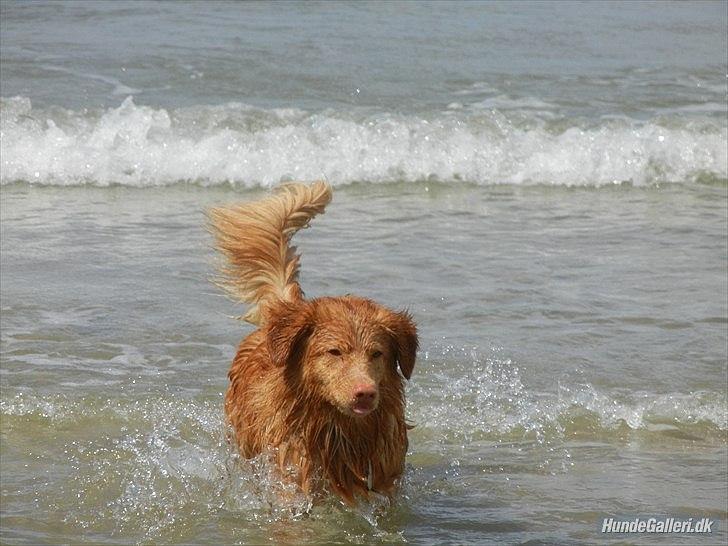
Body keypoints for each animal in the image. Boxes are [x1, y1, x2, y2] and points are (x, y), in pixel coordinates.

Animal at [208, 181, 418, 504]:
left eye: (376, 354)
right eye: (334, 352)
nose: (365, 393)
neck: (340, 432)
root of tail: (287, 309)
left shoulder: (385, 481)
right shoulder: (292, 480)